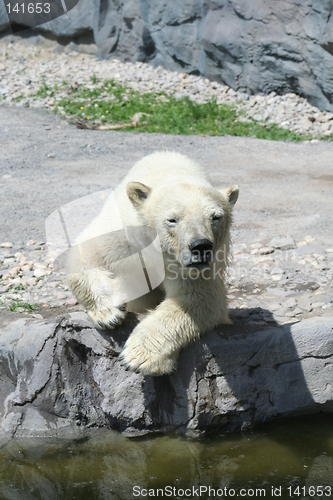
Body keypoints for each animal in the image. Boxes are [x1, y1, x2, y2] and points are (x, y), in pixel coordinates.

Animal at [66, 152, 237, 376]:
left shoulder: (195, 267)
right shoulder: (125, 234)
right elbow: (86, 253)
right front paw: (110, 313)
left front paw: (138, 356)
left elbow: (200, 297)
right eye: (172, 219)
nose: (201, 246)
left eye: (216, 217)